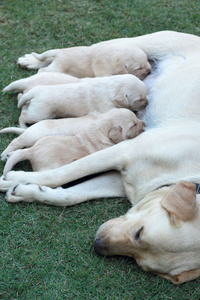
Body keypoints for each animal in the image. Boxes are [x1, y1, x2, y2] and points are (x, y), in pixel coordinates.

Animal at [2, 108, 144, 175]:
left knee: (20, 150)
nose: (143, 123)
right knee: (16, 142)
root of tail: (32, 152)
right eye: (133, 125)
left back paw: (10, 155)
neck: (99, 129)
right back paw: (4, 154)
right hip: (35, 136)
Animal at [17, 75, 148, 127]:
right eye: (139, 99)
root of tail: (34, 92)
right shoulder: (106, 107)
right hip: (39, 113)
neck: (111, 87)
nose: (147, 103)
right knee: (23, 116)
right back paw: (23, 126)